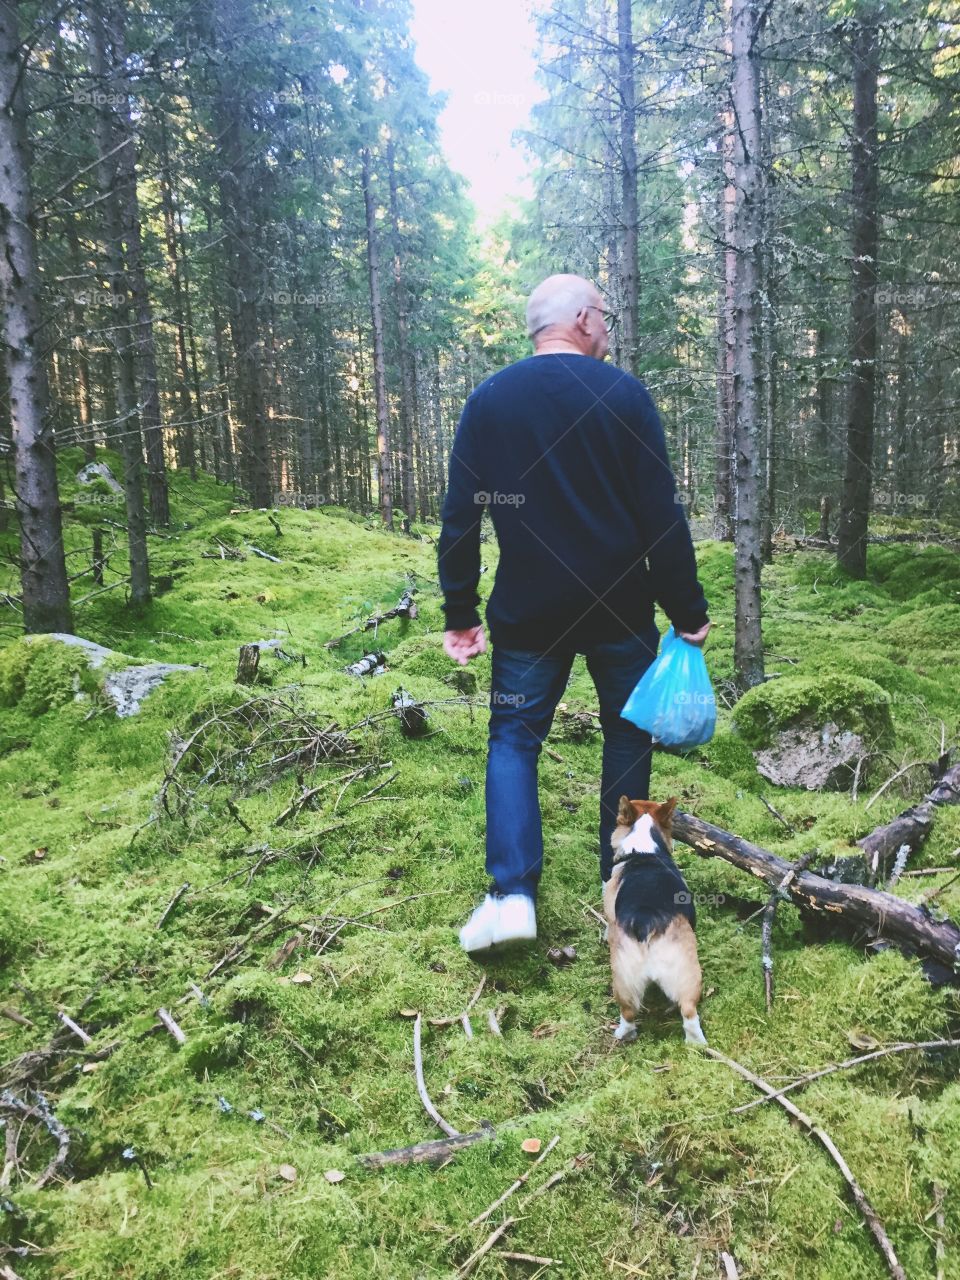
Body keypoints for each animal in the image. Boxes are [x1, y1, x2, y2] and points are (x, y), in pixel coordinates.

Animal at [604, 793, 711, 1044]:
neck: (644, 851)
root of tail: (646, 923)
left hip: (626, 977)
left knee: (630, 1013)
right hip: (680, 975)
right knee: (686, 1012)